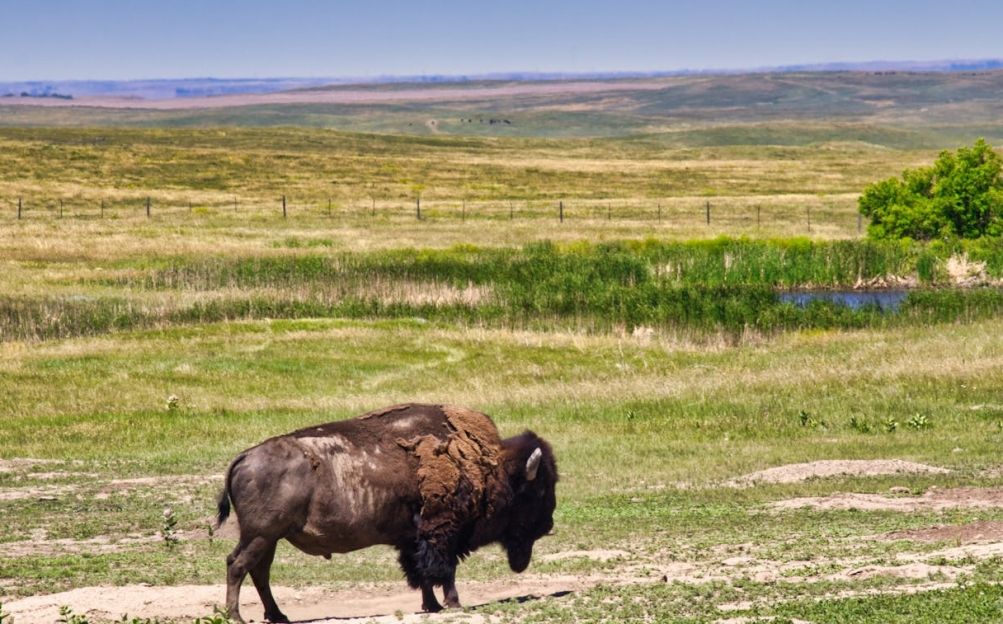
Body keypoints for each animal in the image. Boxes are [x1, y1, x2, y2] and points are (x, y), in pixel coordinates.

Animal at [214, 403, 557, 621]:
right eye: (538, 490)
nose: (548, 523)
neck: (485, 464)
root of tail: (245, 456)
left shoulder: (413, 538)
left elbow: (420, 573)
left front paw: (432, 606)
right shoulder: (442, 532)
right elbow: (443, 570)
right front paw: (454, 604)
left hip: (268, 538)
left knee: (258, 571)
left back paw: (278, 616)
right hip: (261, 535)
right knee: (237, 565)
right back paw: (236, 616)